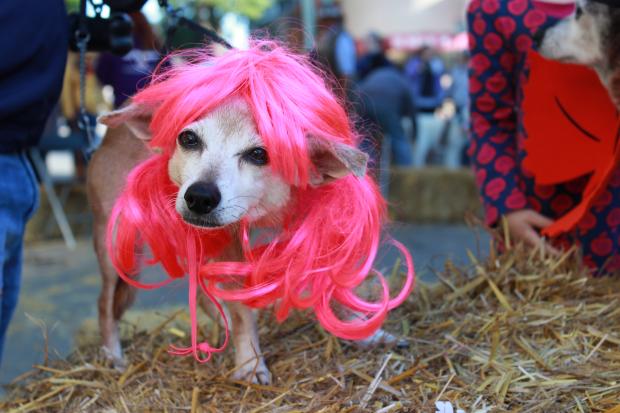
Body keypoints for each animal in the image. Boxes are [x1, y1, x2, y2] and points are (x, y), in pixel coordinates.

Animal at [87, 41, 414, 384]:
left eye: (259, 154)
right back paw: (113, 357)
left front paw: (363, 332)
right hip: (116, 248)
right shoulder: (228, 245)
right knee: (105, 304)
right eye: (188, 138)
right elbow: (244, 312)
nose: (199, 197)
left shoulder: (323, 231)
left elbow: (334, 287)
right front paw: (251, 363)